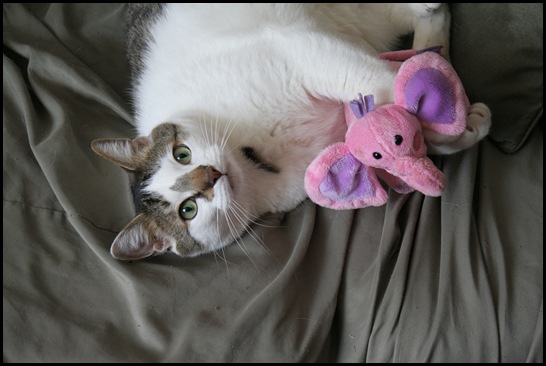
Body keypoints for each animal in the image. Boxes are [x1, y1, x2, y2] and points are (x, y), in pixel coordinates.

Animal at [90, 2, 488, 260]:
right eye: (187, 210)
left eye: (181, 153)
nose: (211, 174)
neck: (252, 155)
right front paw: (451, 127)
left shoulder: (299, 51)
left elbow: (382, 84)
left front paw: (440, 111)